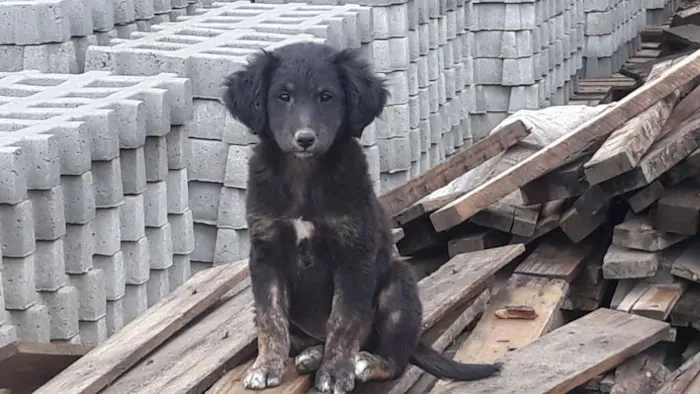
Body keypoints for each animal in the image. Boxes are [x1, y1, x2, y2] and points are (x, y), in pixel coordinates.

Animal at [221, 41, 500, 392]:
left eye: (326, 97)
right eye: (283, 97)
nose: (305, 139)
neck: (304, 176)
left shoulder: (353, 253)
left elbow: (344, 320)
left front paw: (335, 373)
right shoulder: (265, 253)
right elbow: (271, 318)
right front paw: (266, 366)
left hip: (398, 285)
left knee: (395, 359)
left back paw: (365, 363)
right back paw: (312, 354)